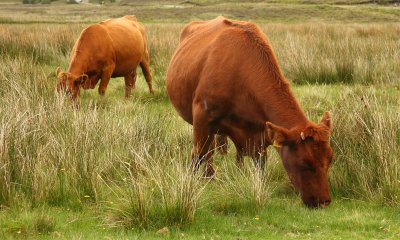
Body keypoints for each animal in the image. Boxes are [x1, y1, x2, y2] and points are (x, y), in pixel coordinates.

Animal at [166, 16, 334, 208]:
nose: (324, 201)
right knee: (208, 151)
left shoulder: (260, 136)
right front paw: (190, 187)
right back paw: (209, 176)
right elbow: (198, 155)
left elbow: (259, 165)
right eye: (305, 163)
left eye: (331, 159)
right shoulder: (202, 115)